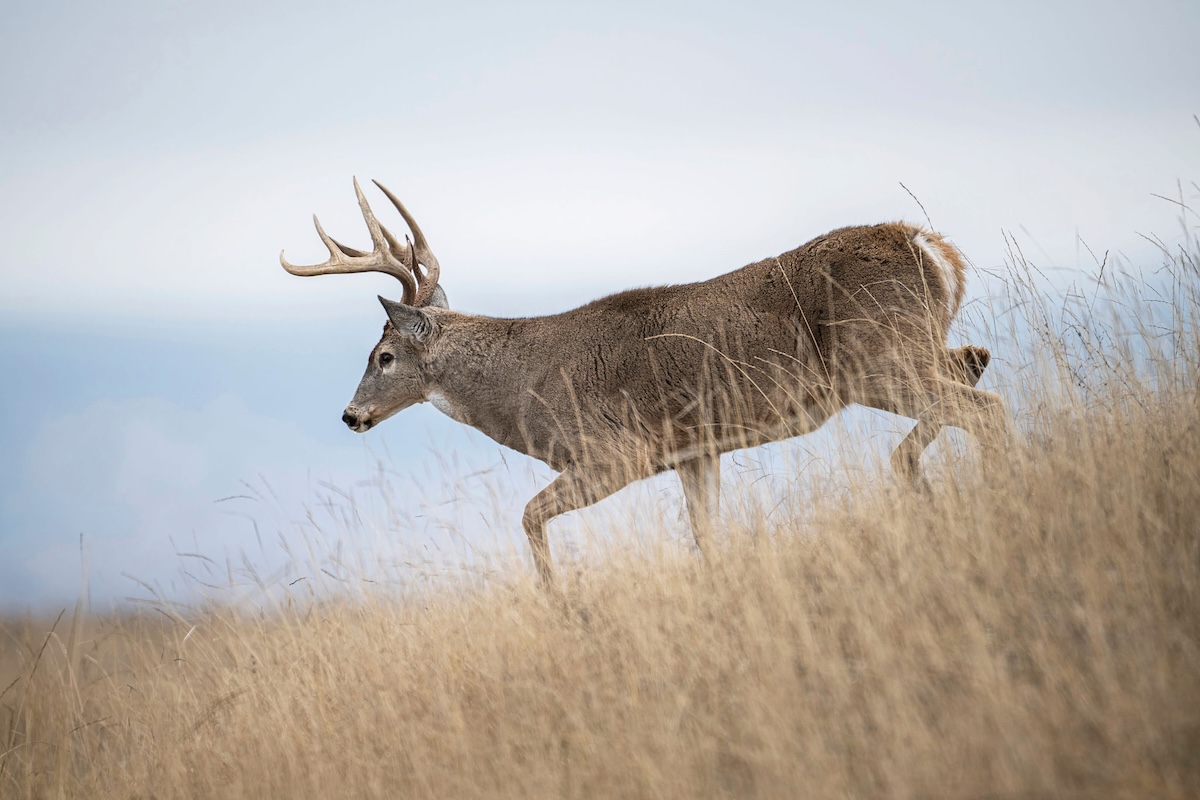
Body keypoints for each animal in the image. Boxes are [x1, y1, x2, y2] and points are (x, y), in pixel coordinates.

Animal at [281, 178, 1008, 585]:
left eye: (383, 356)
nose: (349, 416)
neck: (522, 387)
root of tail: (928, 245)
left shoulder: (616, 453)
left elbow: (528, 516)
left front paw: (561, 604)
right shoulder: (695, 451)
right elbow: (706, 536)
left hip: (877, 359)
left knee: (986, 406)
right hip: (912, 349)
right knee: (977, 363)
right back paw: (921, 481)